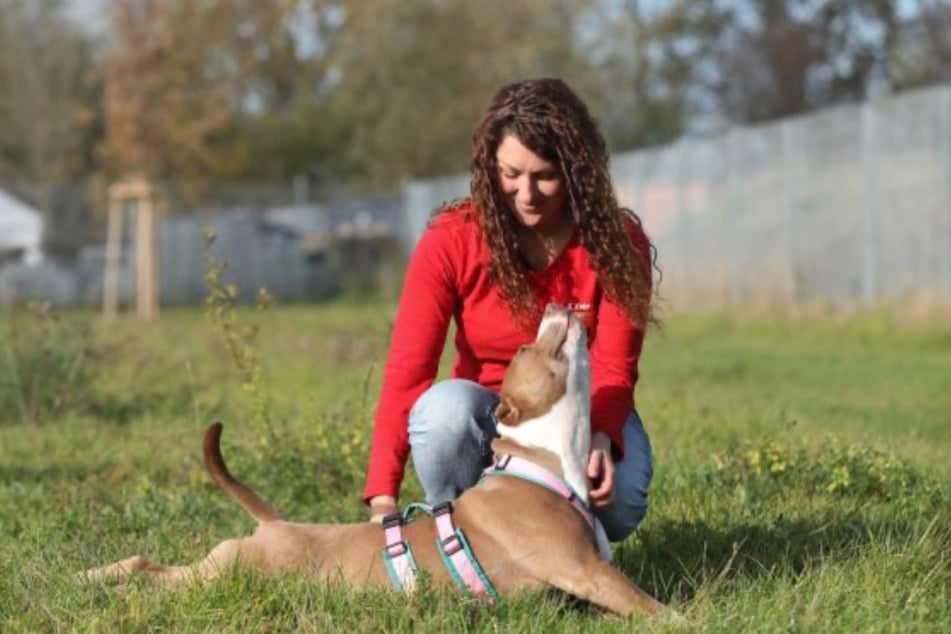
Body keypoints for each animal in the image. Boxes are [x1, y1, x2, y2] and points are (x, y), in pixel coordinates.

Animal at [82, 306, 664, 616]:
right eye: (524, 349)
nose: (557, 305)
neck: (539, 459)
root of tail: (273, 524)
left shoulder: (586, 590)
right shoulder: (585, 571)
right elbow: (655, 609)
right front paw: (681, 618)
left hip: (221, 568)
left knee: (150, 566)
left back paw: (98, 577)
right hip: (228, 575)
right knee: (156, 574)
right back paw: (105, 581)